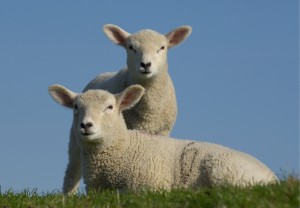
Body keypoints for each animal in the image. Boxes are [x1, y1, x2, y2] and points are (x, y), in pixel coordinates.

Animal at [48, 83, 276, 193]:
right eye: (76, 107)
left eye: (109, 107)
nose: (86, 125)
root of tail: (273, 178)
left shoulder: (148, 184)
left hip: (225, 171)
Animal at [62, 24, 192, 195]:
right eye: (131, 47)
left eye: (162, 48)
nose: (145, 64)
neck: (149, 112)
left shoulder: (163, 132)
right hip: (74, 139)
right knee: (72, 170)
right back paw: (67, 195)